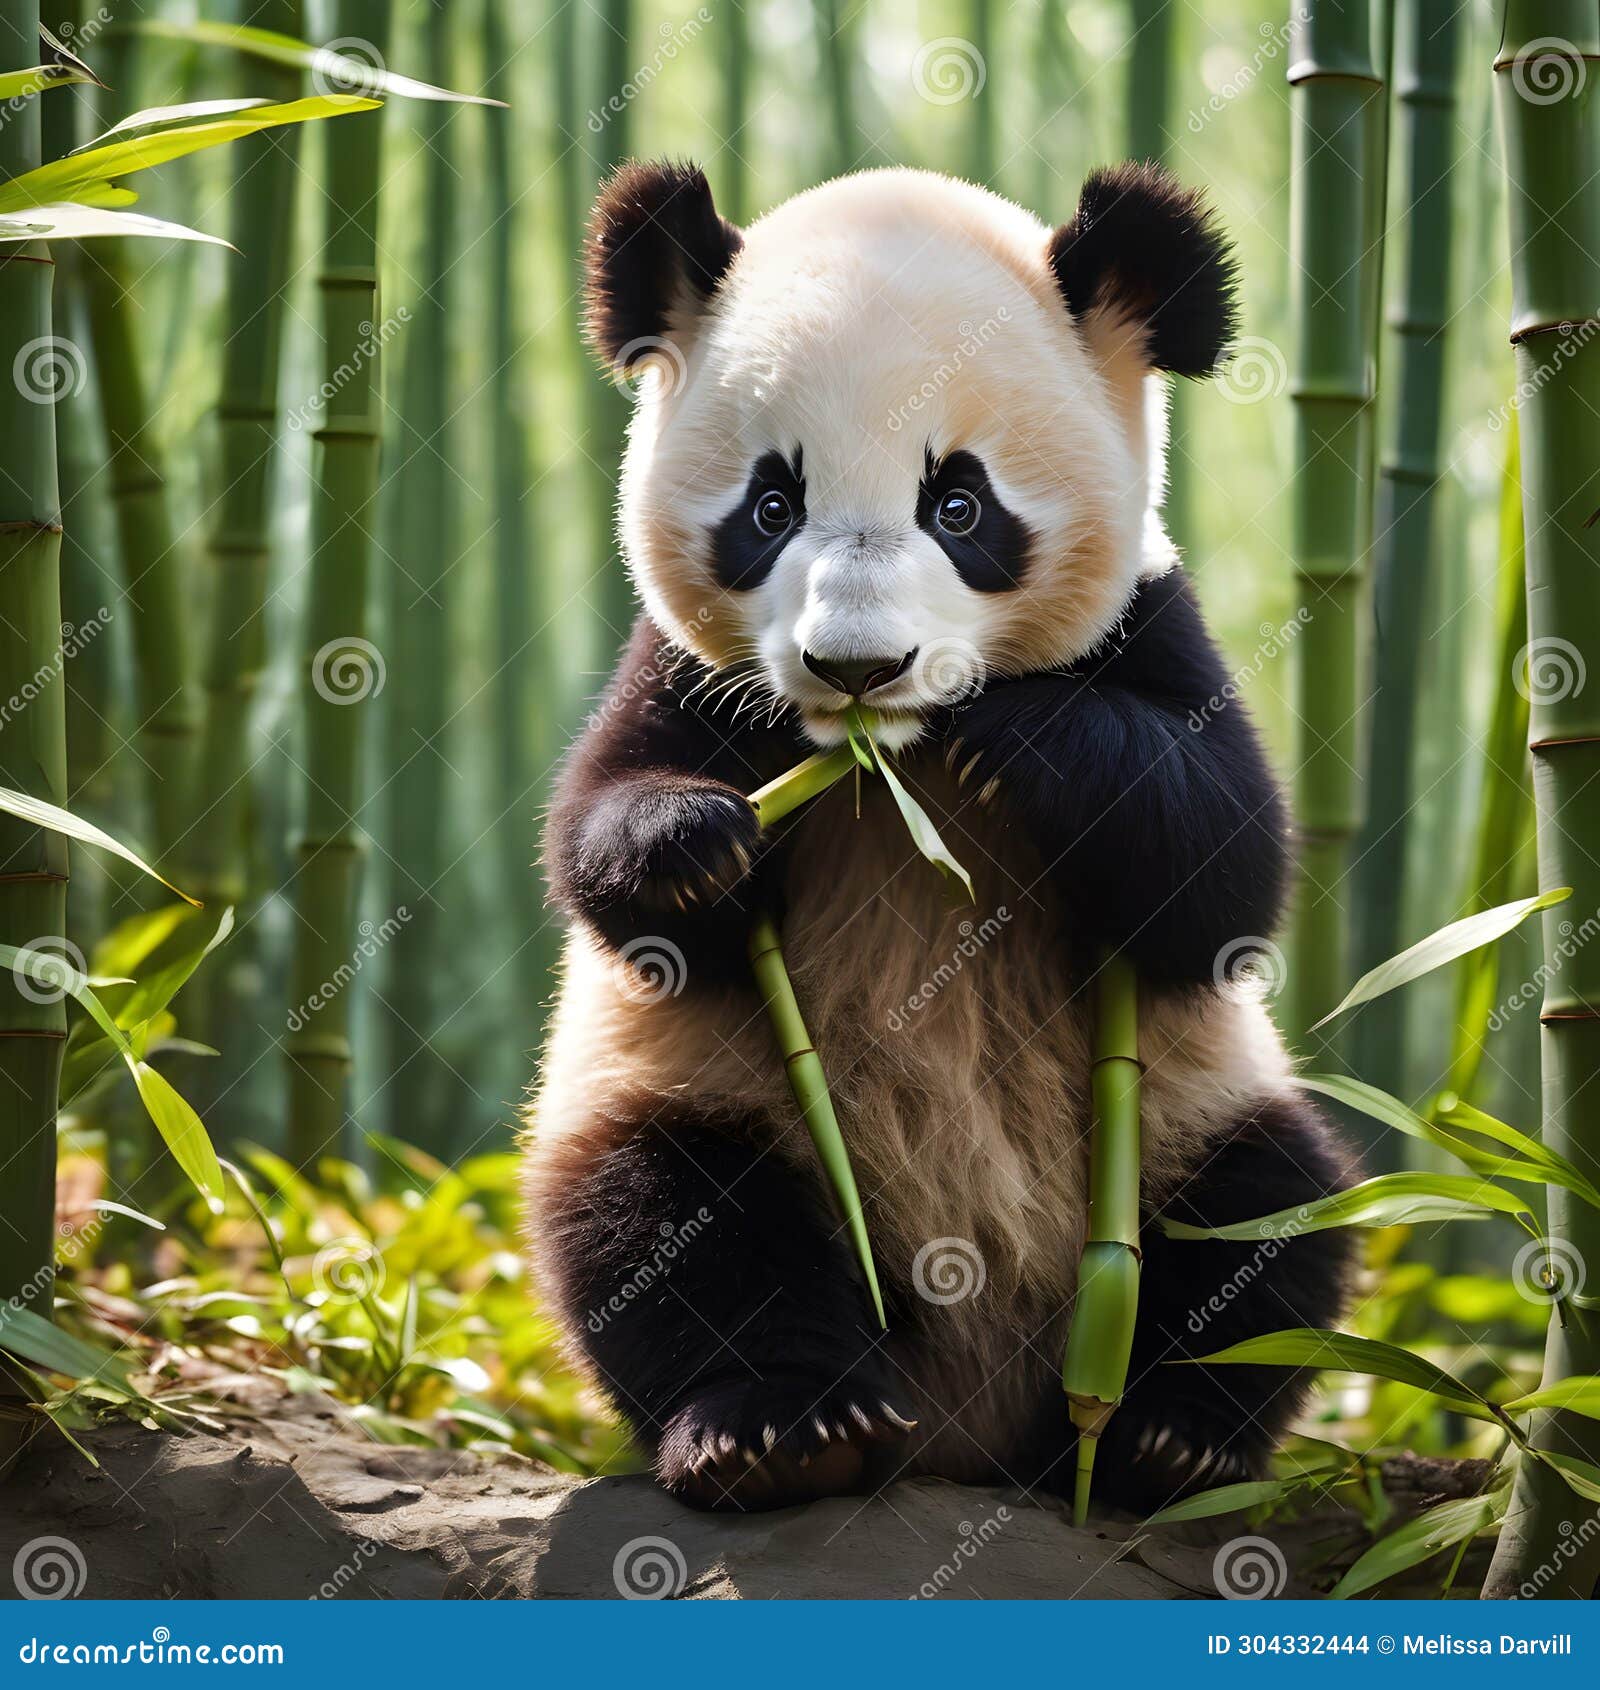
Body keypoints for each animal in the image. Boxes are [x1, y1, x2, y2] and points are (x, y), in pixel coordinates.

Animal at [523, 158, 1356, 1515]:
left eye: (959, 504)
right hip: (712, 1103)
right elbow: (602, 843)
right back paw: (782, 1433)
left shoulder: (1155, 624)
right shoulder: (682, 674)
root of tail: (963, 1431)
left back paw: (1166, 1441)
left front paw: (1031, 740)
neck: (892, 768)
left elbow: (1227, 876)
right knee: (666, 1222)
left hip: (1186, 1117)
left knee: (1268, 1215)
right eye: (771, 505)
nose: (855, 667)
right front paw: (692, 845)